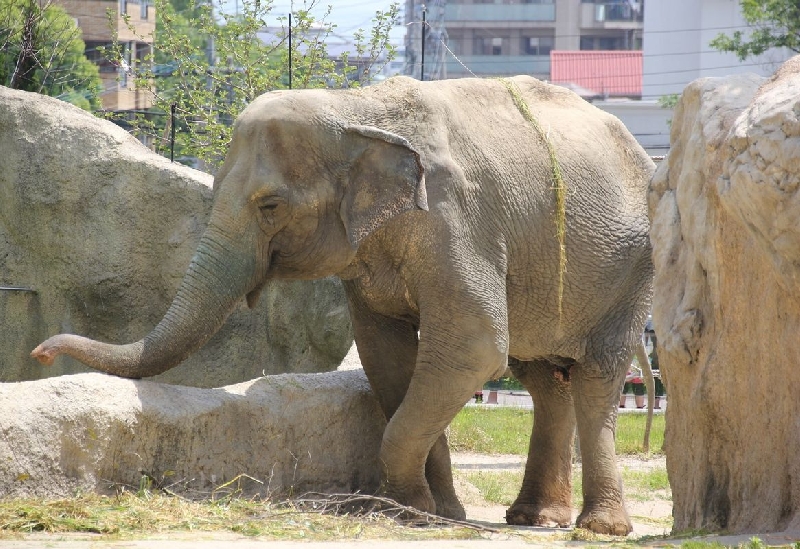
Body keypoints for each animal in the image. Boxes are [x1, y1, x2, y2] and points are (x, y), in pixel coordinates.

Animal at [32, 75, 656, 532]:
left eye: (270, 206)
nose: (39, 352)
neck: (357, 108)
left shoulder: (458, 224)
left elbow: (473, 347)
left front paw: (408, 510)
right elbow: (388, 358)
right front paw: (427, 510)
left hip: (636, 265)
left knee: (595, 376)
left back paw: (598, 528)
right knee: (543, 377)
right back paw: (534, 518)